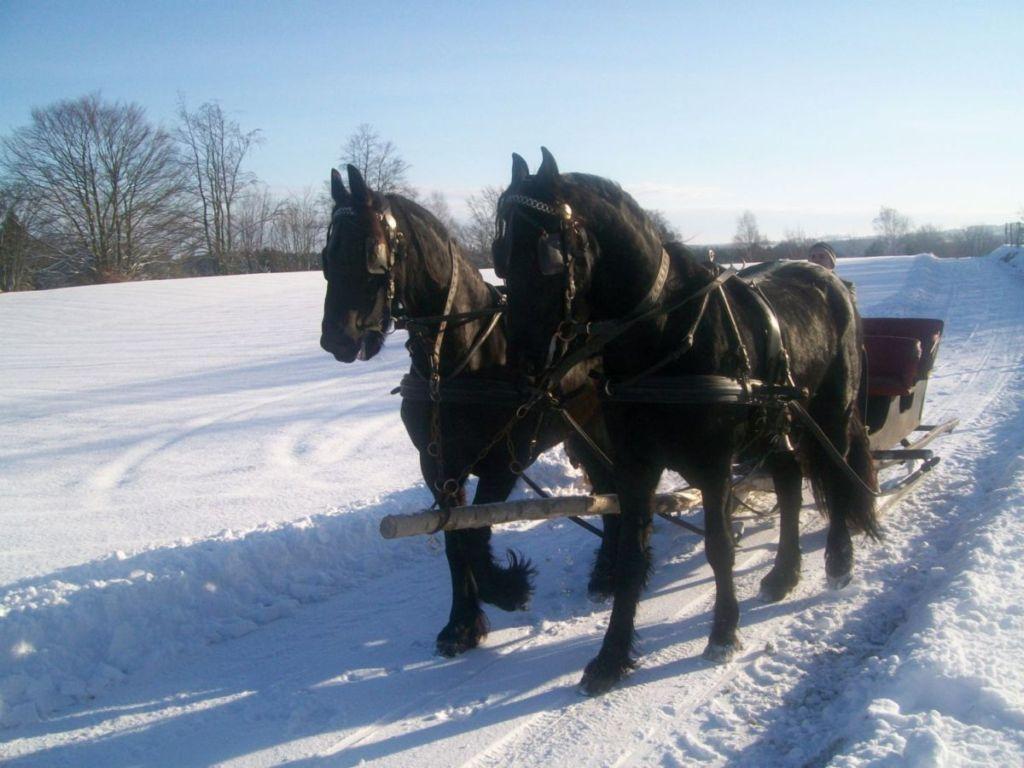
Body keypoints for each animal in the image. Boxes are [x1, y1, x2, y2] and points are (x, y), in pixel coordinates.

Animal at [323, 165, 618, 659]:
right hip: (584, 431)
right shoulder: (439, 466)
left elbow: (477, 536)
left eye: (370, 252)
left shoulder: (503, 461)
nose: (336, 339)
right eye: (326, 254)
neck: (465, 358)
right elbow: (456, 540)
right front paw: (463, 623)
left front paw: (506, 589)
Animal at [491, 147, 876, 696]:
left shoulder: (713, 465)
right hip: (772, 426)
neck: (663, 336)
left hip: (830, 412)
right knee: (788, 479)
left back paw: (838, 560)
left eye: (547, 253)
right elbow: (631, 559)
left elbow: (719, 547)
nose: (521, 356)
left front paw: (723, 633)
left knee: (835, 472)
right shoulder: (635, 466)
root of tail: (830, 281)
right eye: (501, 251)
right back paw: (784, 572)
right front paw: (611, 658)